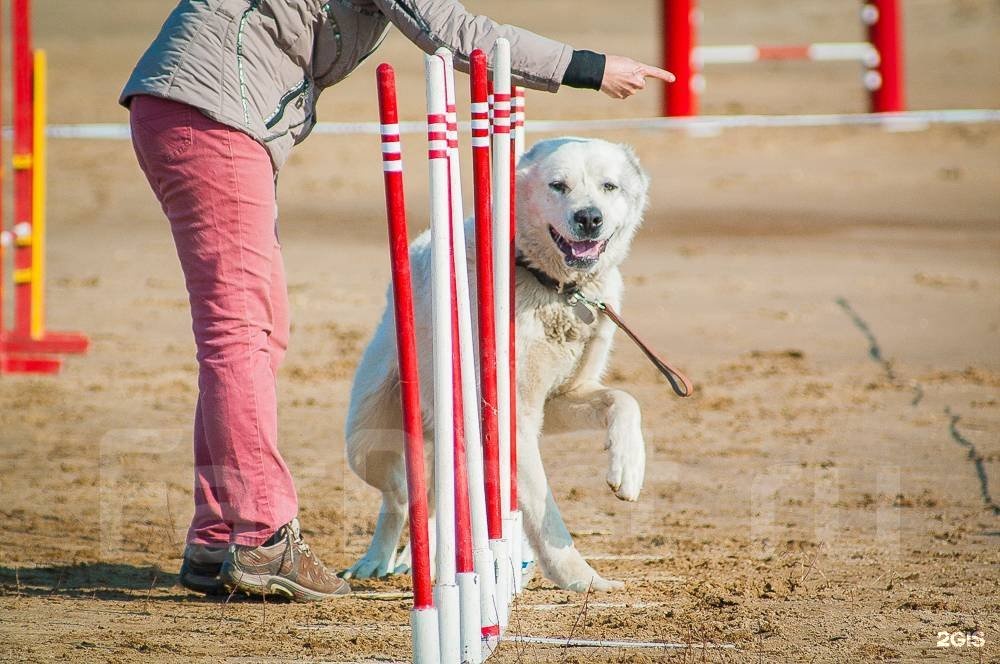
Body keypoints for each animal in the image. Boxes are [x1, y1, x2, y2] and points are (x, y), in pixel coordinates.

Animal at [346, 136, 648, 592]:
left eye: (609, 186)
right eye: (558, 185)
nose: (589, 218)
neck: (553, 288)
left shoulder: (560, 399)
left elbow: (624, 400)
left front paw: (628, 468)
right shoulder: (513, 417)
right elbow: (544, 512)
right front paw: (582, 579)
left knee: (430, 502)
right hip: (366, 442)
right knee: (399, 497)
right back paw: (377, 561)